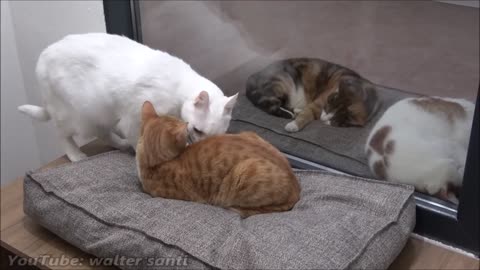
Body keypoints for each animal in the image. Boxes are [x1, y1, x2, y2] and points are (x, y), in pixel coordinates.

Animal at [17, 32, 238, 161]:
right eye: (199, 131)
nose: (204, 146)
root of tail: (43, 54)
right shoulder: (133, 120)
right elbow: (138, 140)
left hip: (99, 113)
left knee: (103, 133)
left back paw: (120, 145)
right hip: (74, 114)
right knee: (62, 134)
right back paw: (76, 155)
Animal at [248, 58, 378, 132]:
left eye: (334, 120)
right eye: (327, 107)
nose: (321, 118)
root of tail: (253, 76)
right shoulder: (318, 103)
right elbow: (306, 114)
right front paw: (293, 125)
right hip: (282, 82)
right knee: (272, 104)